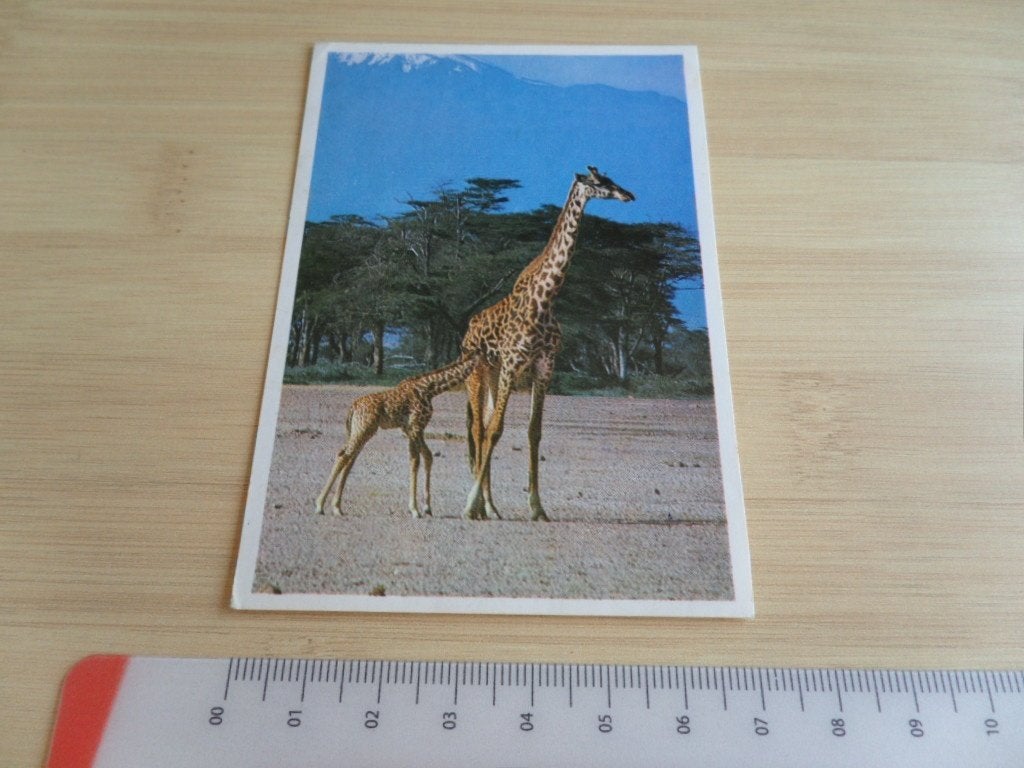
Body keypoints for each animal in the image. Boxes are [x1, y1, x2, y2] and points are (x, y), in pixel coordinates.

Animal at [315, 355, 481, 518]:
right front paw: (414, 509)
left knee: (348, 458)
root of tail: (353, 407)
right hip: (364, 429)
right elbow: (415, 461)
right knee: (344, 456)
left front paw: (427, 508)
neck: (431, 389)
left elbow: (427, 457)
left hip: (359, 430)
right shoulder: (415, 427)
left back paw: (337, 507)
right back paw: (320, 506)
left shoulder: (412, 429)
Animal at [460, 166, 635, 521]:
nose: (628, 195)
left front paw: (537, 508)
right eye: (600, 182)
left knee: (484, 425)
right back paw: (478, 506)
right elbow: (497, 430)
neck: (546, 298)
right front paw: (469, 506)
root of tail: (467, 331)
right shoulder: (513, 364)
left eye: (611, 179)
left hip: (493, 374)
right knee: (480, 429)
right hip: (478, 372)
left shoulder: (544, 366)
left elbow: (534, 432)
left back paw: (492, 508)